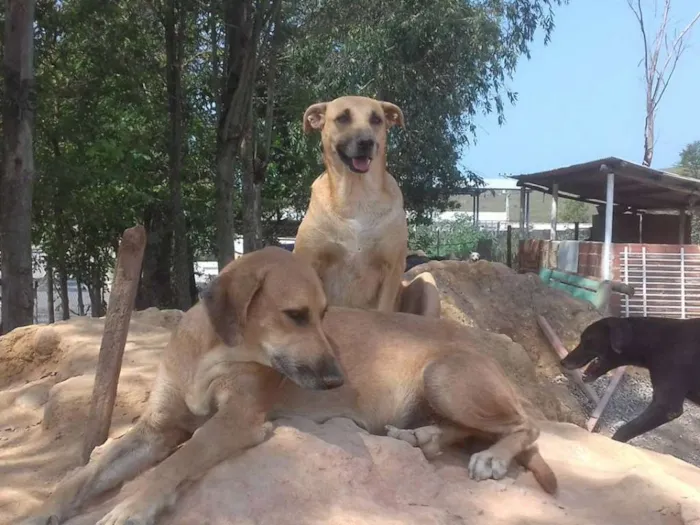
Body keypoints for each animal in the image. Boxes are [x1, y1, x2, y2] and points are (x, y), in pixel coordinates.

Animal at [19, 247, 556, 524]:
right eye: (296, 315)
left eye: (324, 315)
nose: (338, 379)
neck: (213, 354)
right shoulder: (155, 429)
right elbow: (85, 473)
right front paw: (43, 510)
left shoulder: (237, 420)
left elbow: (179, 460)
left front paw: (133, 504)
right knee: (467, 428)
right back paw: (419, 436)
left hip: (443, 375)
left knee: (526, 427)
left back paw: (490, 457)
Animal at [298, 96, 440, 318]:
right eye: (343, 118)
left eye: (376, 119)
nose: (366, 142)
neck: (357, 196)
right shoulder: (308, 259)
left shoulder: (392, 268)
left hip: (427, 282)